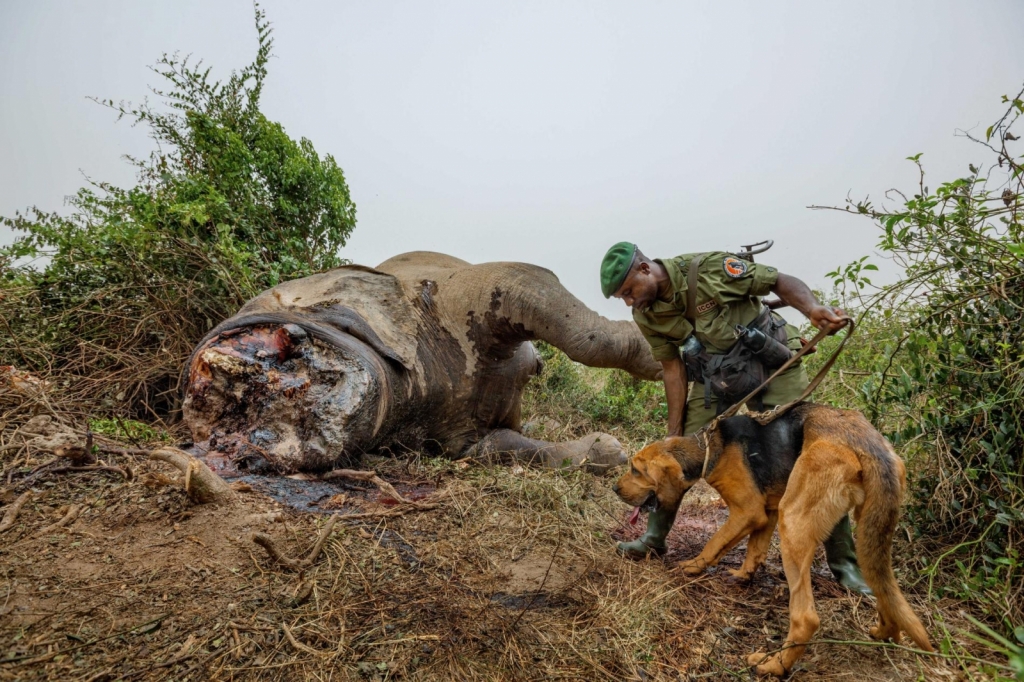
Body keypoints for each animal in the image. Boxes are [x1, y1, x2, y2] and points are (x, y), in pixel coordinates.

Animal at [610, 403, 933, 675]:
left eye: (635, 470)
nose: (614, 488)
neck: (709, 448)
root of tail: (866, 442)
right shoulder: (767, 512)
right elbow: (755, 549)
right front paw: (743, 574)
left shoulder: (748, 511)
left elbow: (716, 541)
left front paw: (692, 566)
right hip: (869, 527)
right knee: (883, 587)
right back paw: (886, 632)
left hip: (794, 521)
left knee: (805, 618)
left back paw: (773, 665)